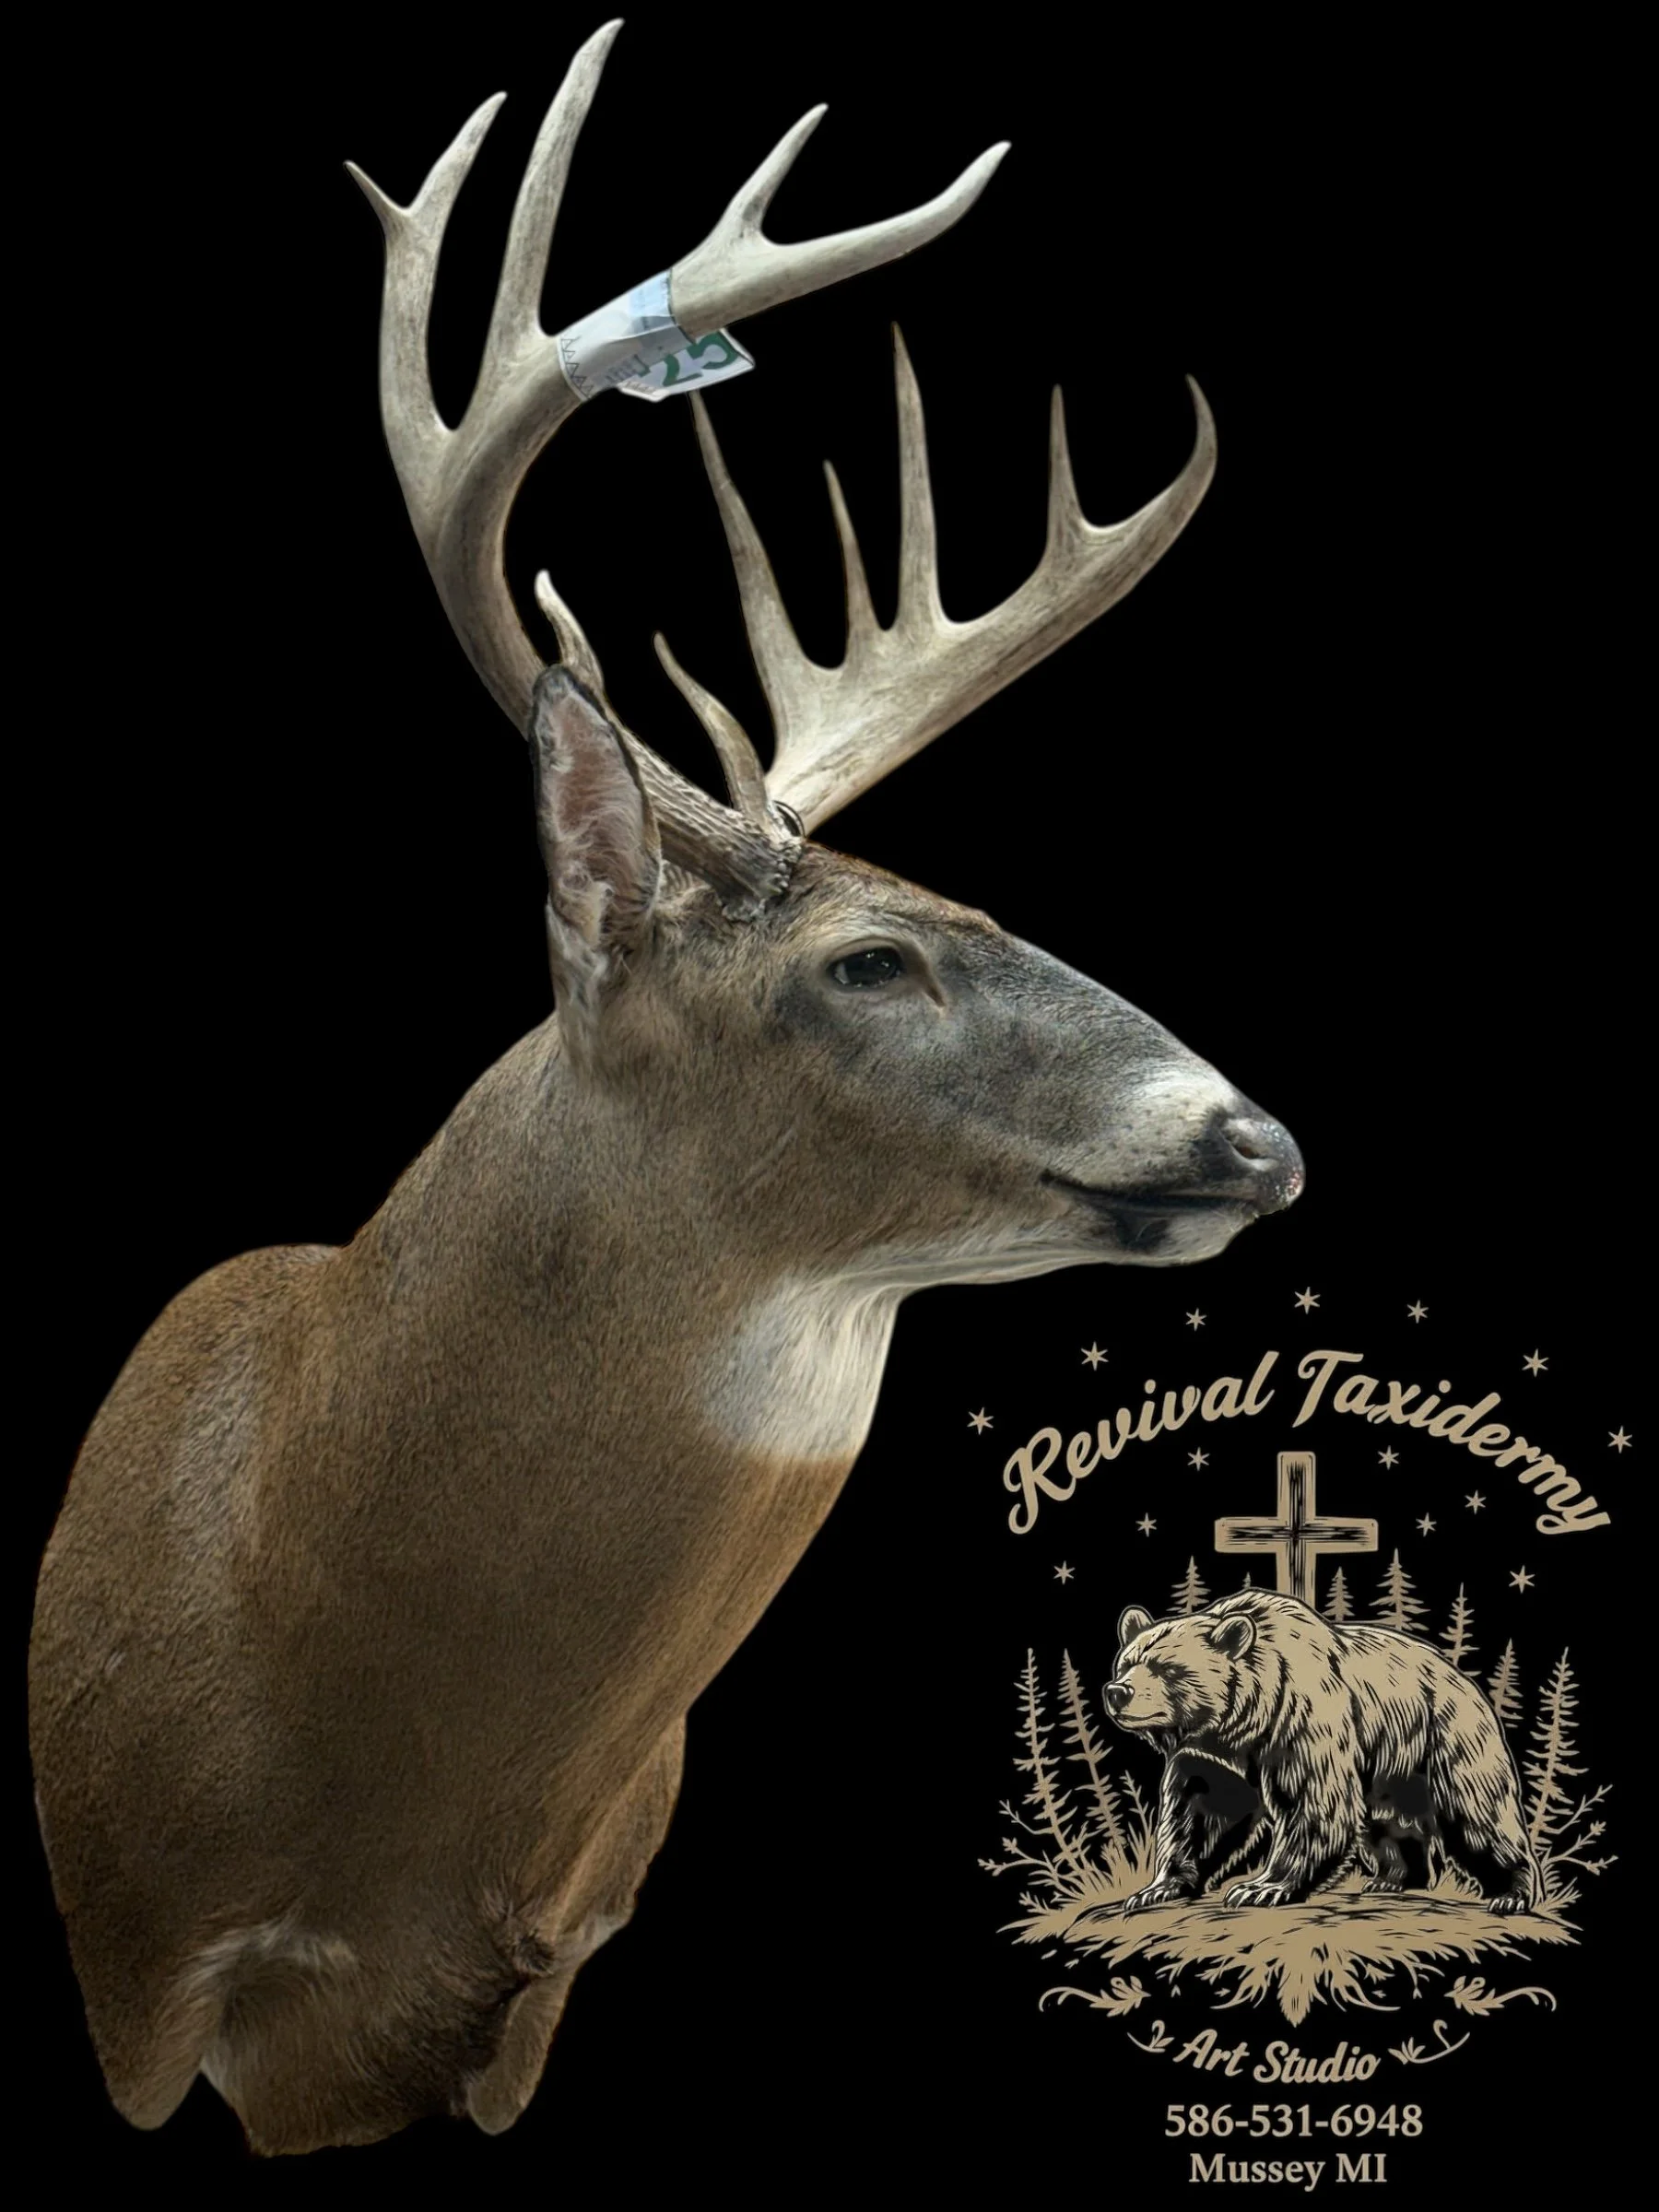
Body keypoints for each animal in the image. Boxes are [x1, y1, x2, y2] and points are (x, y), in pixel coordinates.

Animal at [1102, 1588, 1541, 1915]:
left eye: (1168, 1668)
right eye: (1126, 1663)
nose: (1118, 1692)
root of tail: (1468, 1684)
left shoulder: (1303, 1722)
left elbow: (1315, 1803)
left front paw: (1260, 1887)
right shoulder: (1211, 1755)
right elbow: (1198, 1811)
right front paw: (1157, 1888)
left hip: (1447, 1737)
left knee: (1479, 1813)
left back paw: (1512, 1892)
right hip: (1393, 1770)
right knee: (1389, 1821)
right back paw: (1392, 1879)